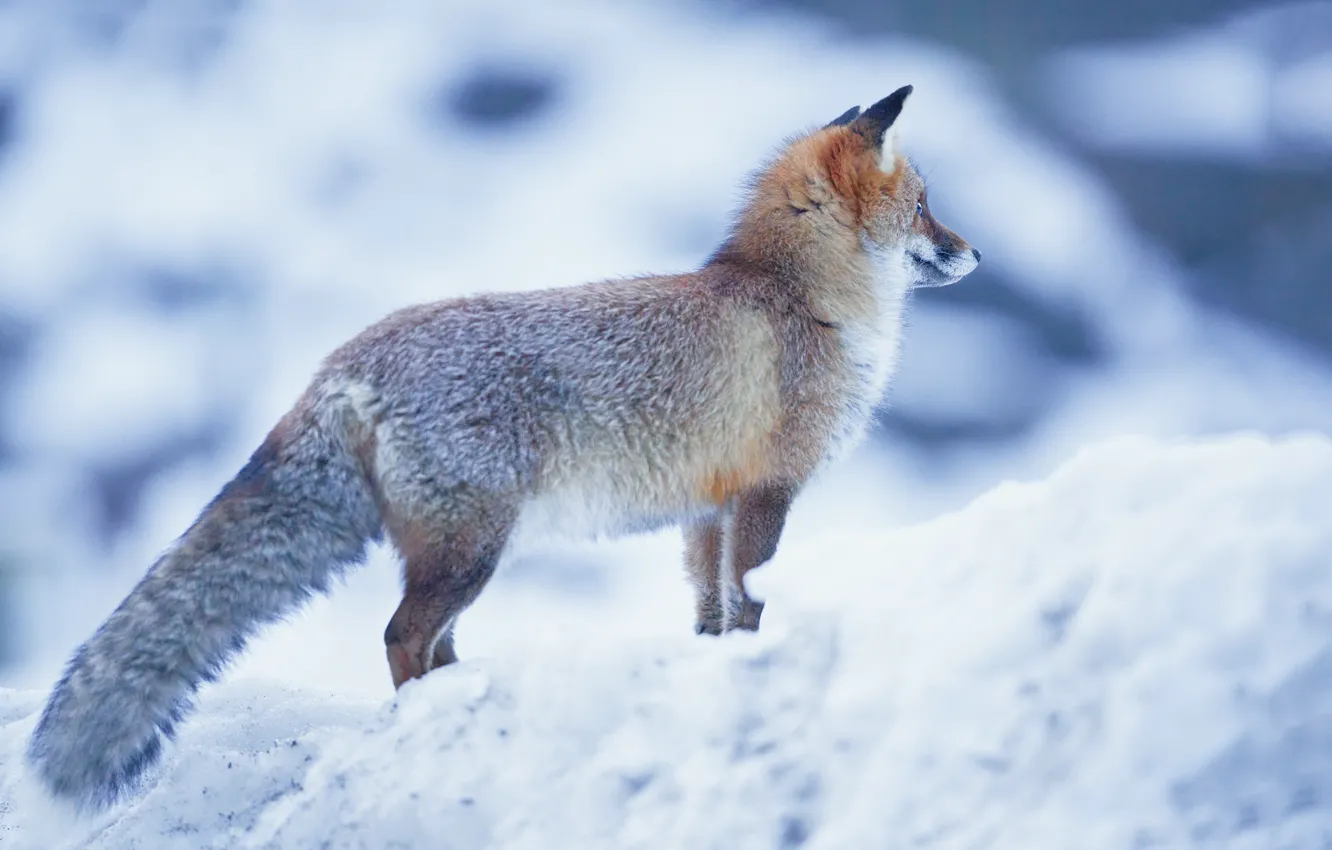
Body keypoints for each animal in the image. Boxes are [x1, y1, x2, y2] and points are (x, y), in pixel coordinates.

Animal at [27, 85, 978, 809]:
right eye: (925, 206)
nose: (973, 253)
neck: (799, 299)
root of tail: (346, 360)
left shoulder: (706, 508)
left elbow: (709, 611)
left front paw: (712, 668)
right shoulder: (766, 492)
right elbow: (748, 601)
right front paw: (753, 661)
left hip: (463, 553)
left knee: (432, 642)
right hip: (471, 549)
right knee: (400, 637)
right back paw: (427, 722)